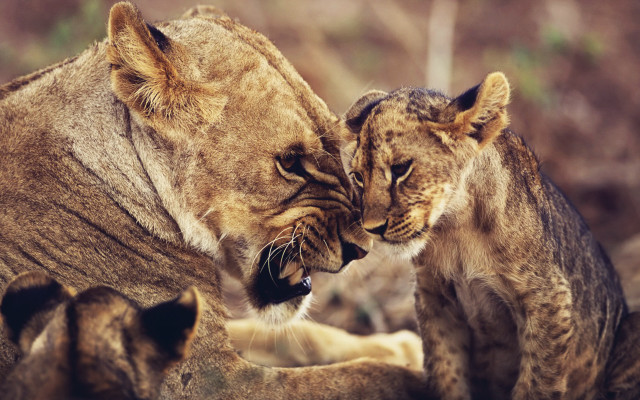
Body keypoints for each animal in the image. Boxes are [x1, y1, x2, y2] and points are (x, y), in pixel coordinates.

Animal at [342, 72, 640, 399]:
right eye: (358, 177)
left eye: (400, 169)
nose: (372, 228)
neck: (456, 228)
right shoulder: (435, 298)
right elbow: (447, 374)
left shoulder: (549, 298)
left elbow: (536, 382)